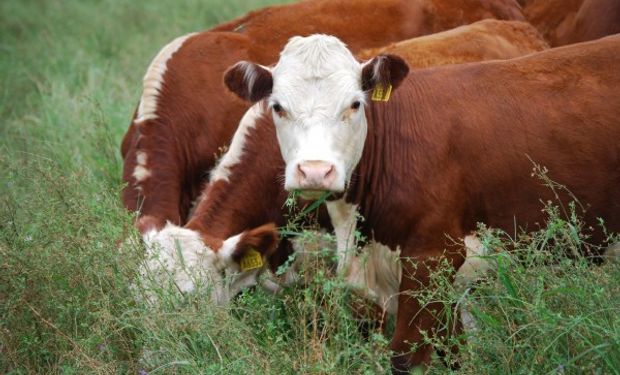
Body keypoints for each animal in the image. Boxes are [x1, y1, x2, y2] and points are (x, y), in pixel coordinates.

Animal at [224, 35, 620, 374]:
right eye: (278, 107)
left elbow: (407, 357)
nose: (315, 171)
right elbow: (454, 352)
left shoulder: (432, 258)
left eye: (355, 104)